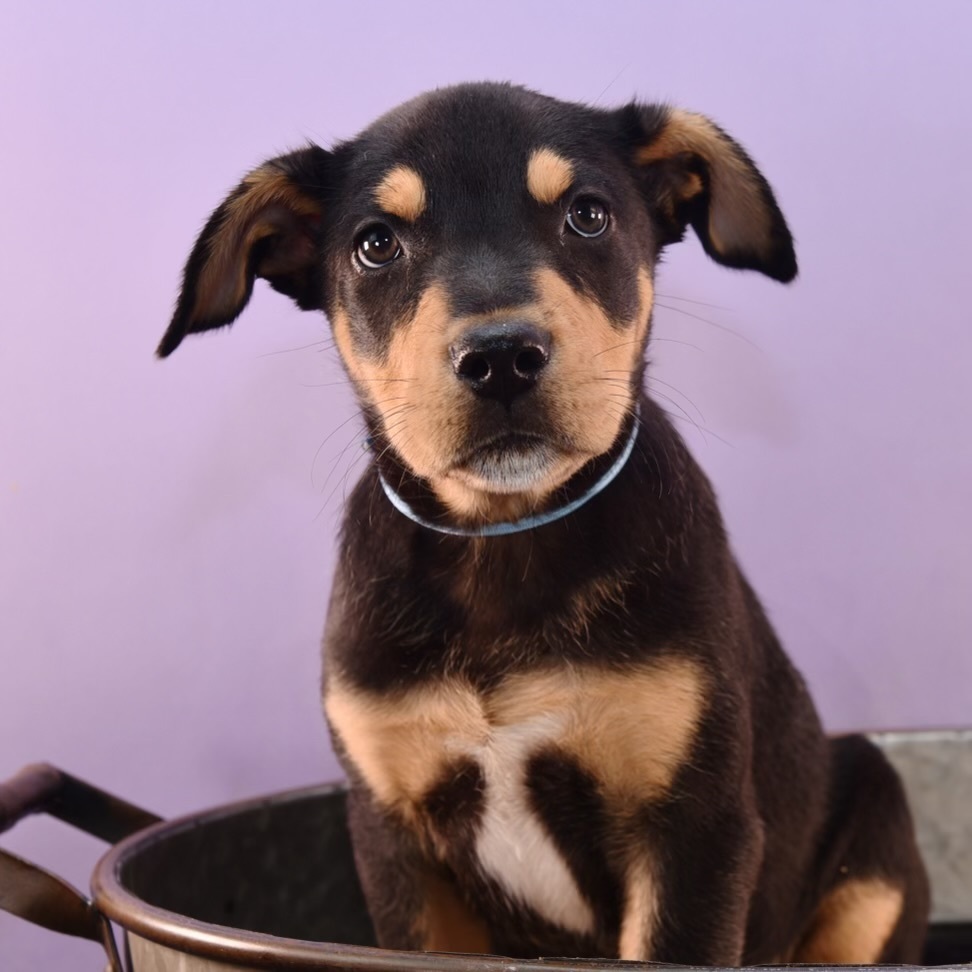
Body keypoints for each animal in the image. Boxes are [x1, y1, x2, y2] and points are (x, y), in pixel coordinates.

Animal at [158, 83, 928, 964]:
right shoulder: (398, 842)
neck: (503, 539)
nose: (500, 358)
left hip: (872, 849)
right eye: (377, 244)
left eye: (587, 216)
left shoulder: (693, 830)